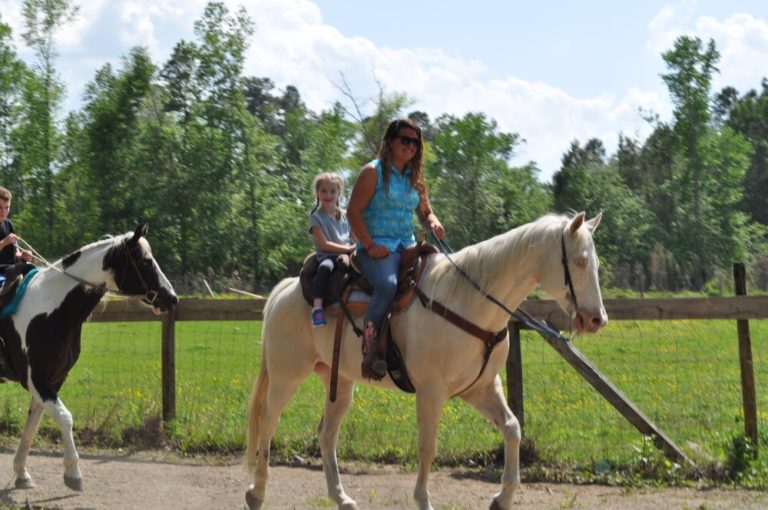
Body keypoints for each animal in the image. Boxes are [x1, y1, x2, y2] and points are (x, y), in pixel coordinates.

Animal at [0, 223, 176, 490]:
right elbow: (65, 418)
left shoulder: (53, 380)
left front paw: (22, 473)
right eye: (146, 261)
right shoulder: (36, 379)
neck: (50, 308)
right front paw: (73, 473)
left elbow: (32, 424)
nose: (172, 298)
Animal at [246, 211, 608, 510]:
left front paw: (502, 497)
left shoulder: (481, 388)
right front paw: (423, 500)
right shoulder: (431, 390)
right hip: (286, 377)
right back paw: (256, 493)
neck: (468, 300)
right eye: (578, 261)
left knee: (325, 434)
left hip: (340, 383)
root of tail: (284, 291)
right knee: (267, 421)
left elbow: (512, 428)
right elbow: (427, 447)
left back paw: (341, 497)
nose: (596, 320)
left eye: (596, 264)